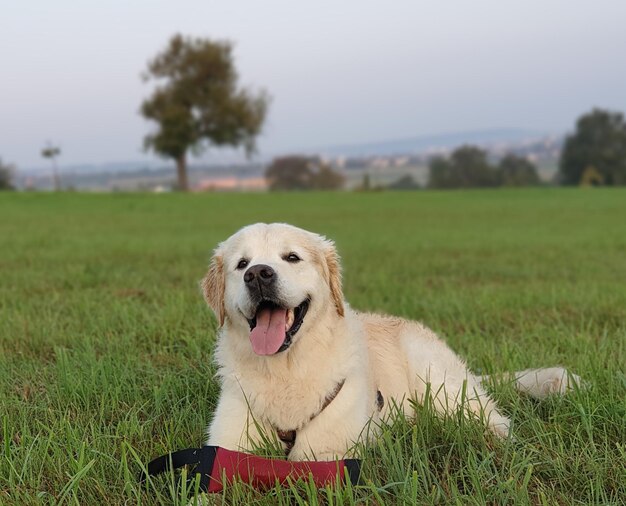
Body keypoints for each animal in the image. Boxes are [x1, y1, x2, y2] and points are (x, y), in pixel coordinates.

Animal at [201, 223, 580, 460]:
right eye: (242, 264)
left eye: (291, 257)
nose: (258, 275)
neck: (286, 370)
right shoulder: (226, 446)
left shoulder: (328, 454)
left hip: (440, 383)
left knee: (495, 421)